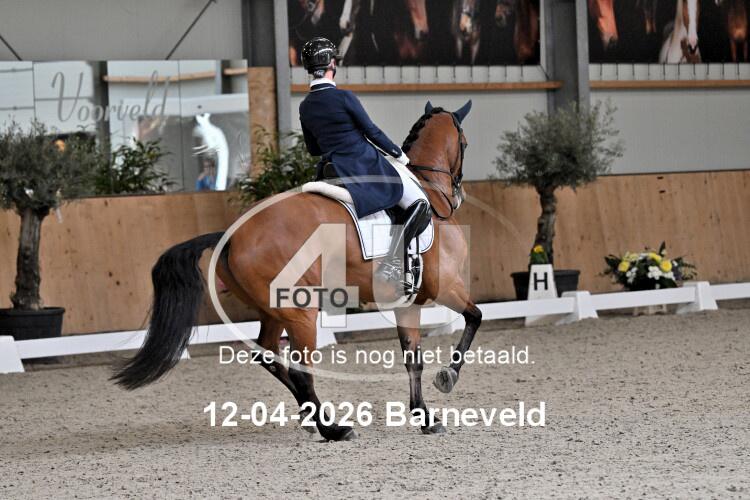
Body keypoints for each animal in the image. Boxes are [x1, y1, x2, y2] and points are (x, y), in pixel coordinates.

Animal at [112, 101, 481, 441]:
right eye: (464, 143)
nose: (460, 193)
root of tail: (232, 235)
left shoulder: (407, 302)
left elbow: (413, 359)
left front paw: (426, 417)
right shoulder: (445, 286)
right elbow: (474, 317)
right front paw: (447, 377)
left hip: (275, 309)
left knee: (269, 355)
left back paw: (310, 415)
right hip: (301, 311)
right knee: (301, 369)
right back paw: (333, 428)